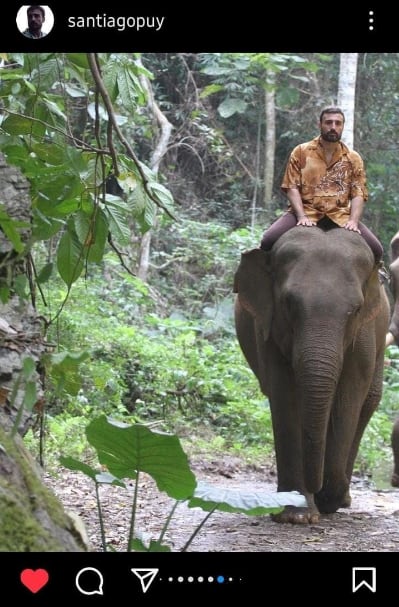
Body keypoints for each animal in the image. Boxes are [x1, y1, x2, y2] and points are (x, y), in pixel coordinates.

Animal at [234, 221, 390, 524]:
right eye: (289, 302)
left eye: (355, 310)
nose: (318, 489)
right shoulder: (268, 327)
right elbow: (284, 392)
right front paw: (296, 515)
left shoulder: (365, 331)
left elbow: (349, 395)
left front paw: (329, 499)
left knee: (369, 400)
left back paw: (342, 499)